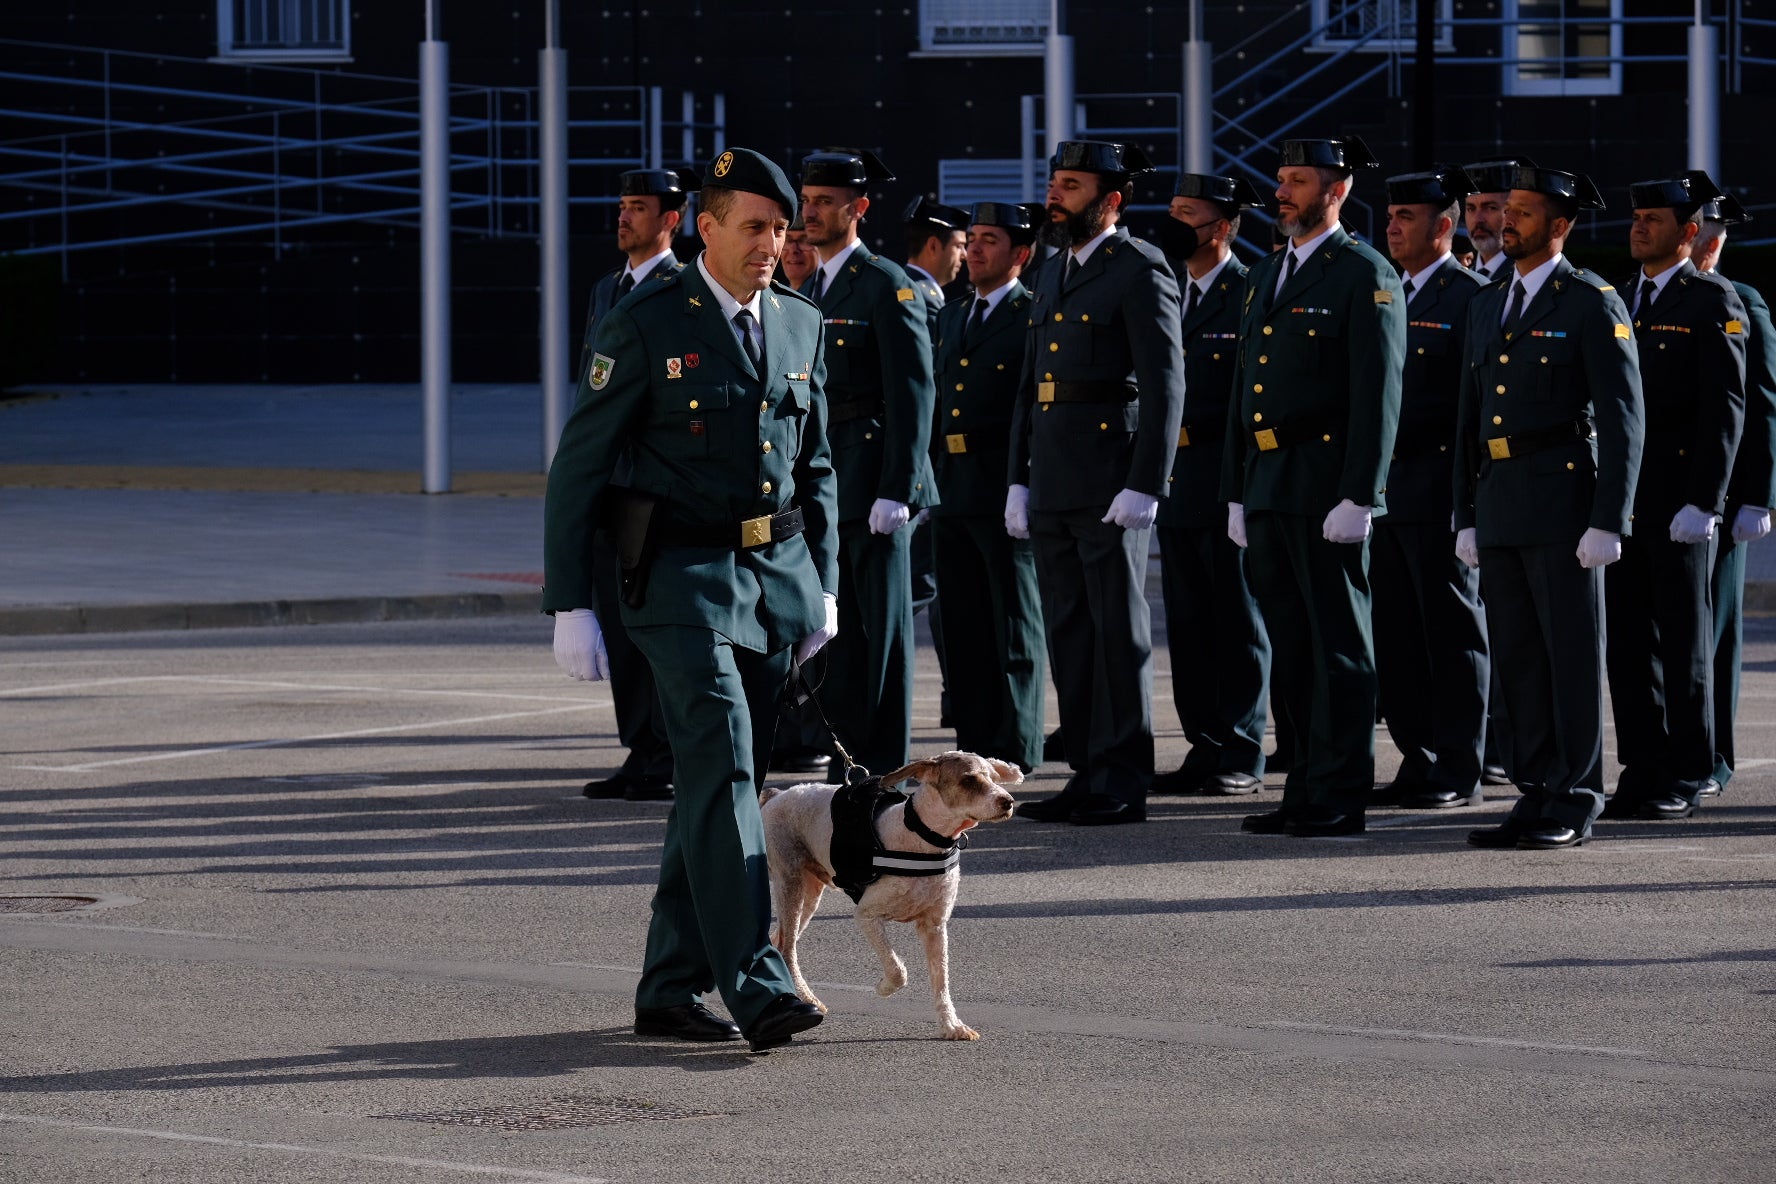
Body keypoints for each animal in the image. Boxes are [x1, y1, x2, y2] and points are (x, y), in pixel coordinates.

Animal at [756, 756, 1022, 1043]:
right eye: (969, 780)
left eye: (993, 778)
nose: (1008, 801)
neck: (920, 840)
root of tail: (777, 794)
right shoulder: (867, 915)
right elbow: (898, 971)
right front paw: (884, 988)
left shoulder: (935, 926)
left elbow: (941, 982)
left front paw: (951, 1026)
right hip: (790, 884)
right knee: (788, 949)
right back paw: (807, 999)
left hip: (809, 894)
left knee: (780, 940)